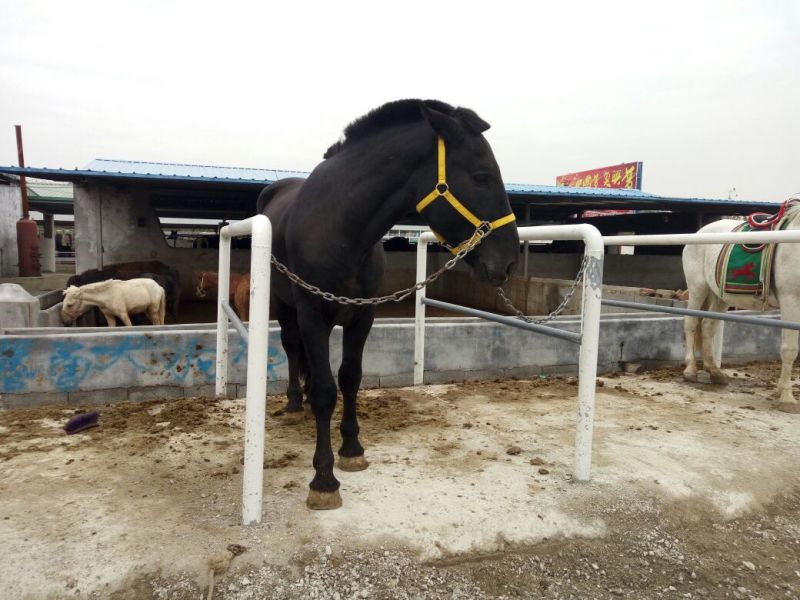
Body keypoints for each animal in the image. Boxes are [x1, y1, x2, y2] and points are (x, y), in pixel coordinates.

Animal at [258, 99, 519, 510]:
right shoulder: (313, 315)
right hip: (283, 306)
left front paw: (352, 449)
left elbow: (350, 378)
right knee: (290, 346)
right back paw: (295, 404)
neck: (340, 228)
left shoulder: (362, 315)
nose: (509, 261)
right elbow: (325, 391)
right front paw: (323, 479)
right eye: (481, 176)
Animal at [682, 201, 800, 411]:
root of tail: (701, 231)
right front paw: (786, 397)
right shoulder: (791, 299)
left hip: (719, 296)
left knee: (708, 327)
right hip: (698, 288)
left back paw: (715, 371)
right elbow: (790, 349)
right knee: (691, 324)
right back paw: (690, 370)